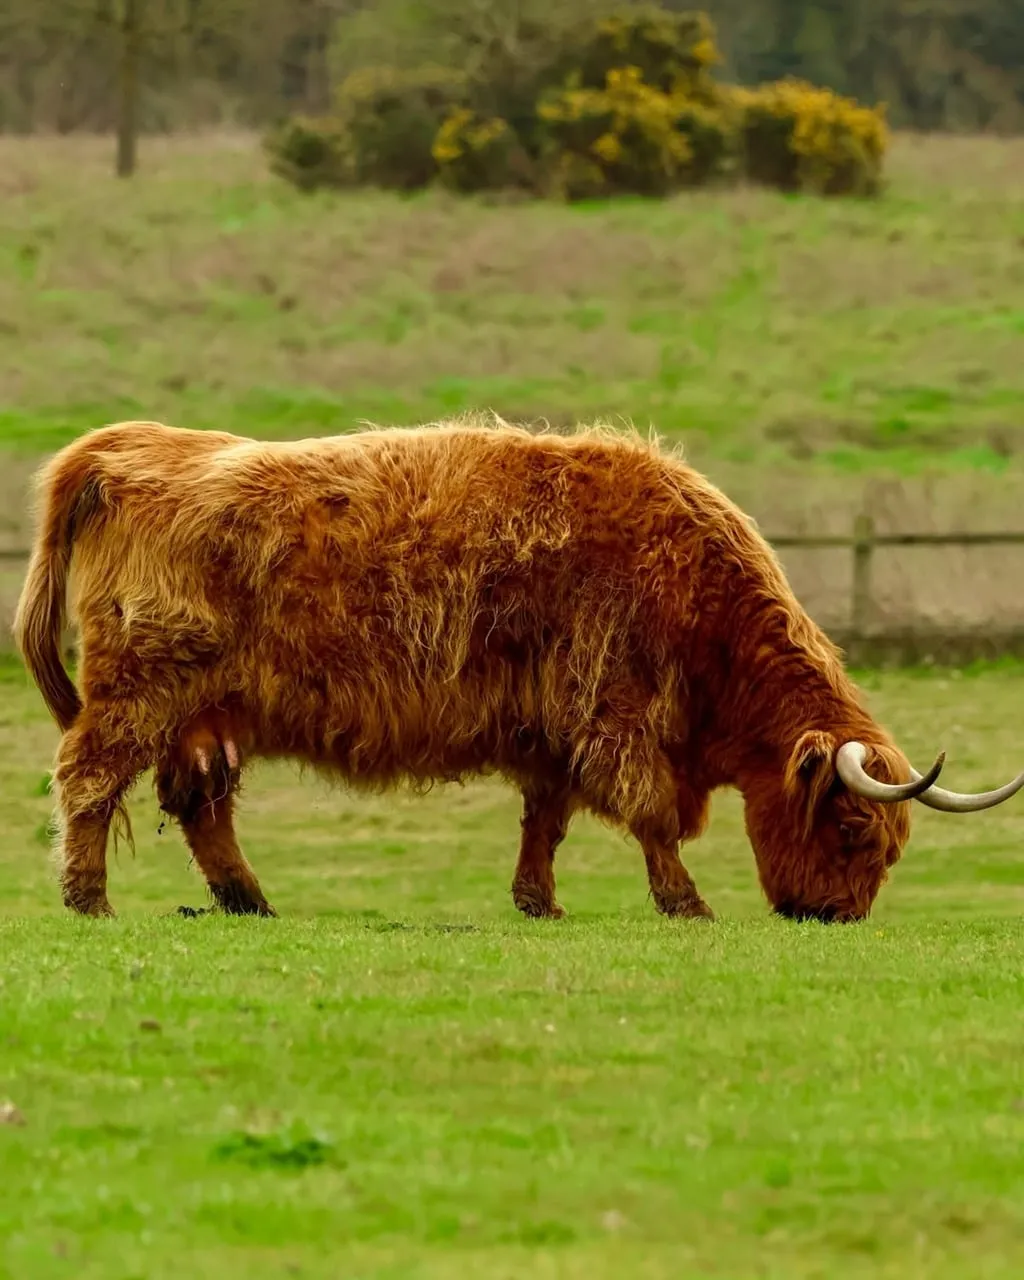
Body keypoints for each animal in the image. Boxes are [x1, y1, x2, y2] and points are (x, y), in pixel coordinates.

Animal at [14, 416, 1024, 923]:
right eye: (853, 831)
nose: (838, 915)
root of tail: (122, 446)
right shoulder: (614, 712)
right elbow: (650, 815)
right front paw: (685, 902)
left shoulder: (553, 728)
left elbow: (548, 819)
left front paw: (537, 901)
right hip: (138, 690)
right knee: (88, 778)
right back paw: (89, 899)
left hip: (206, 714)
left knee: (201, 809)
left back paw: (247, 900)